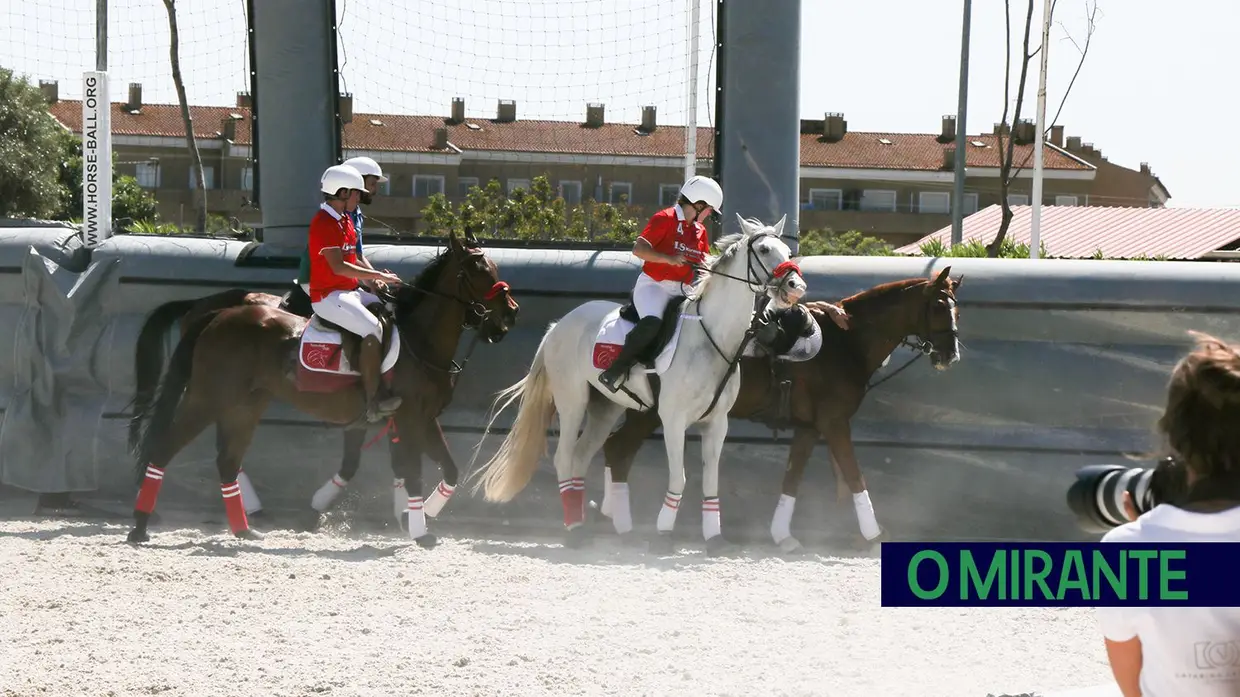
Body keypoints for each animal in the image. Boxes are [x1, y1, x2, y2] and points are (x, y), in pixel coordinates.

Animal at [124, 230, 513, 545]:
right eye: (478, 271)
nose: (510, 312)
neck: (419, 340)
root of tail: (217, 314)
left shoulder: (423, 419)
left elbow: (447, 470)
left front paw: (417, 516)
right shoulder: (407, 419)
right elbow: (411, 472)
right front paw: (418, 530)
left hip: (247, 405)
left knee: (227, 460)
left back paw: (243, 528)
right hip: (207, 398)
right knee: (164, 449)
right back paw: (140, 526)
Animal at [468, 214, 808, 550]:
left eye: (788, 252)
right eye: (764, 249)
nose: (796, 287)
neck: (711, 337)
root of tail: (557, 326)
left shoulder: (716, 423)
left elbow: (711, 481)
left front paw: (714, 537)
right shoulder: (673, 419)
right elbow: (679, 477)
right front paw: (664, 533)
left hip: (605, 408)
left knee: (580, 456)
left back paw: (586, 524)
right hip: (572, 401)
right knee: (565, 457)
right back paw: (574, 529)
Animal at [595, 264, 962, 548]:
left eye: (956, 308)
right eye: (939, 307)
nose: (950, 354)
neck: (845, 341)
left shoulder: (809, 428)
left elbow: (792, 479)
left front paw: (782, 535)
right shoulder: (834, 423)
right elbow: (854, 475)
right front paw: (874, 535)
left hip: (644, 413)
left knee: (616, 449)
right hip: (654, 413)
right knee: (618, 450)